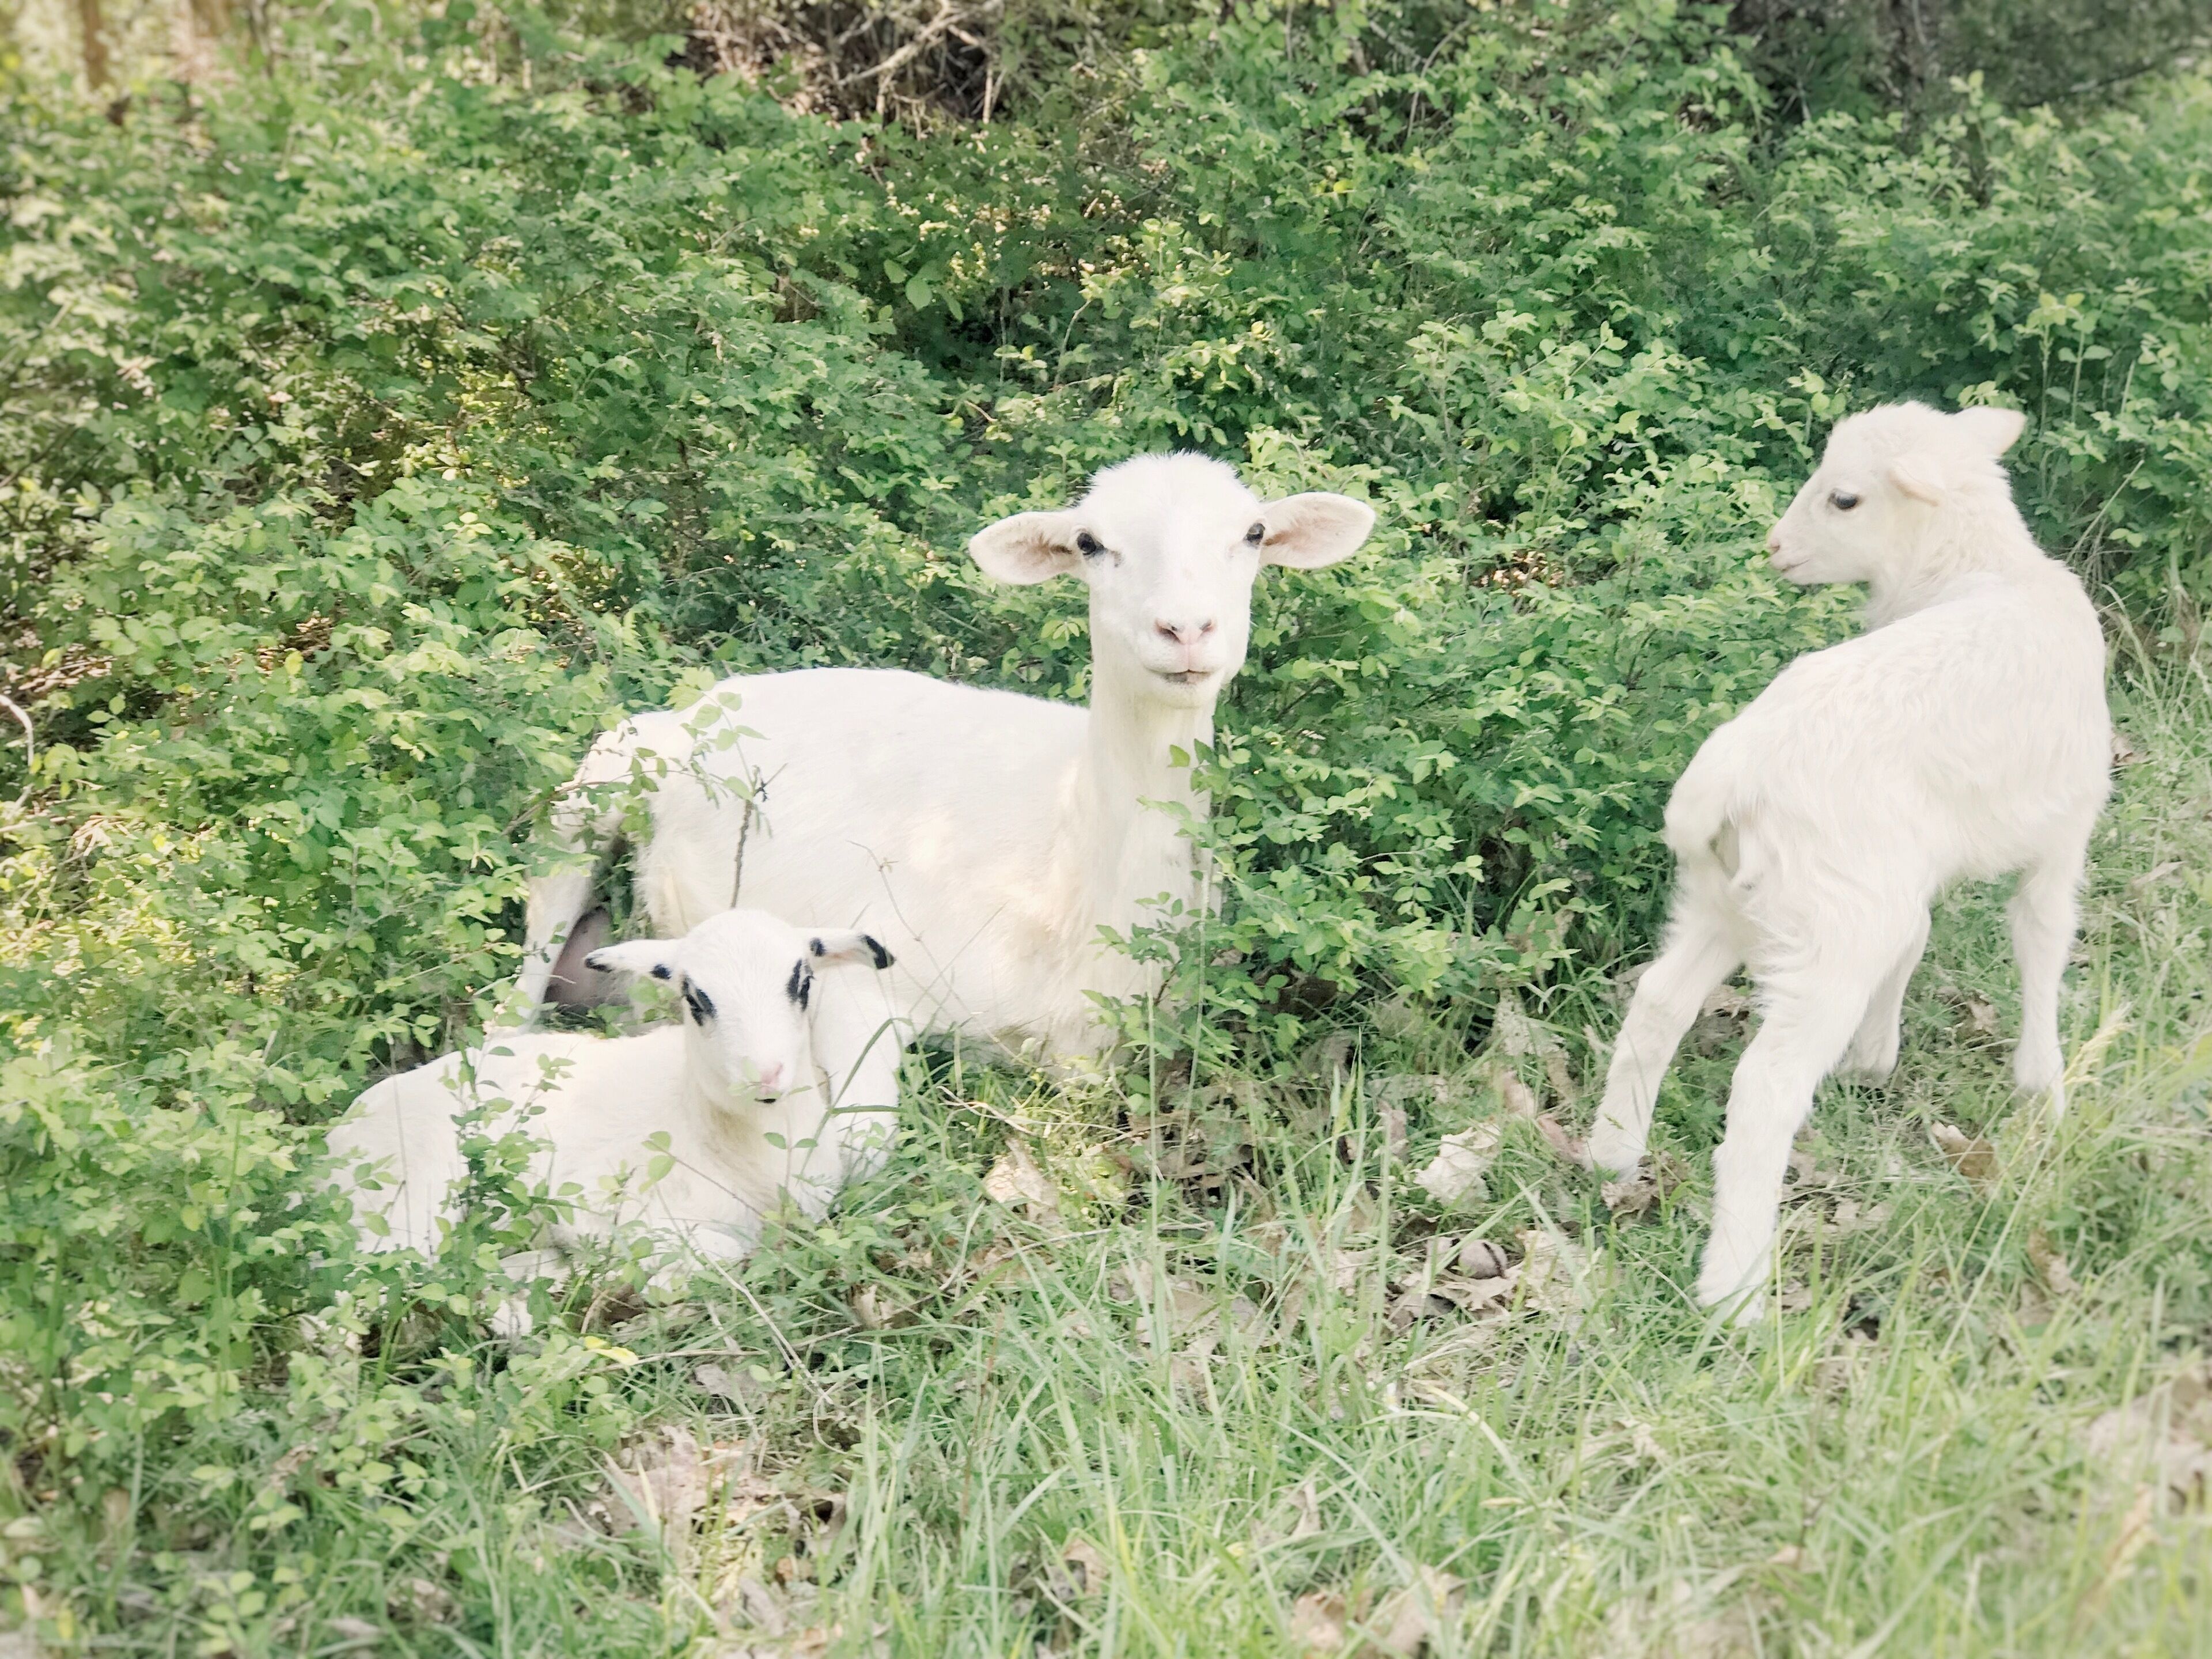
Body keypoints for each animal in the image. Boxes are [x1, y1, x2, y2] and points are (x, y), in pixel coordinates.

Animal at [327, 909, 903, 1303]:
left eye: (803, 982)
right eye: (695, 998)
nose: (763, 1075)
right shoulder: (586, 1203)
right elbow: (718, 1249)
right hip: (414, 1199)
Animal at [1585, 401, 2110, 1318]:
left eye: (1845, 498)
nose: (1773, 547)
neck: (1980, 573)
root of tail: (1730, 770)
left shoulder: (1910, 872)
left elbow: (1919, 940)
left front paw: (1875, 1056)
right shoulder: (2063, 831)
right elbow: (2042, 945)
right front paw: (2043, 1086)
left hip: (1737, 896)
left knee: (1657, 1005)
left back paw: (1610, 1155)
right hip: (1827, 928)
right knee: (1761, 1096)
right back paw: (1734, 1292)